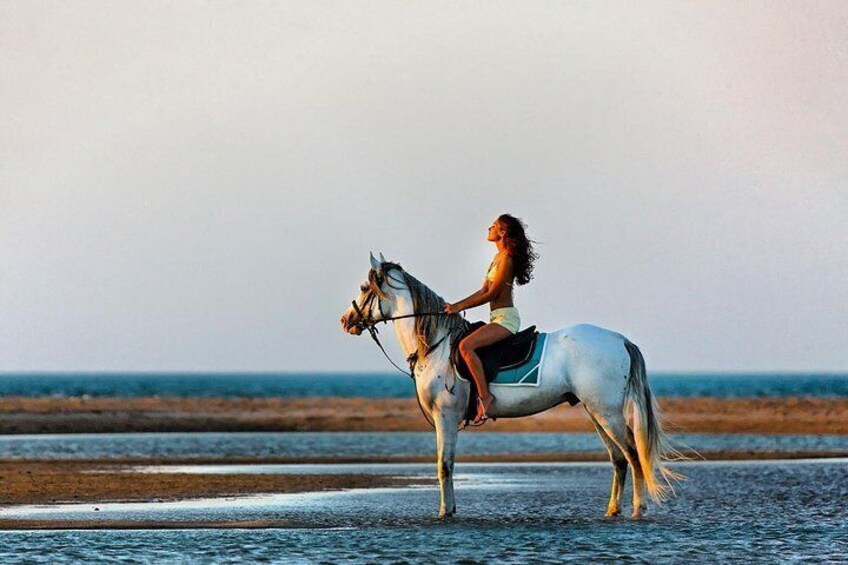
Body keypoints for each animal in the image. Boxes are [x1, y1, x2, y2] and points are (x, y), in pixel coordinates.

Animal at [342, 253, 680, 516]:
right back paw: (612, 510)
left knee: (633, 455)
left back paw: (638, 508)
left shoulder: (445, 415)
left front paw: (445, 512)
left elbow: (444, 465)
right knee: (618, 459)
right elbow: (446, 465)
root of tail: (620, 339)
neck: (436, 345)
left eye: (363, 288)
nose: (346, 321)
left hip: (607, 413)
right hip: (596, 412)